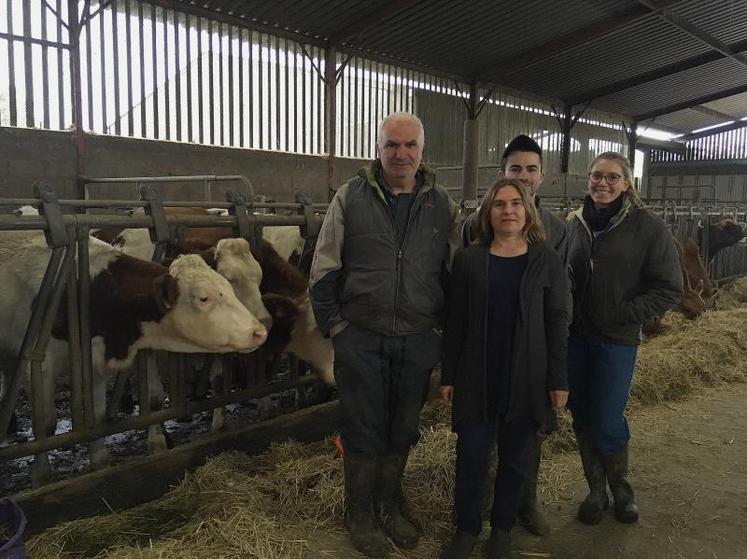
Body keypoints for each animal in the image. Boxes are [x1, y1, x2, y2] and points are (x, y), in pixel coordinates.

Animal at [0, 230, 268, 484]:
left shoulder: (96, 360)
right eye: (204, 297)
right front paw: (41, 475)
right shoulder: (41, 364)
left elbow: (97, 417)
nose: (261, 329)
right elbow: (45, 424)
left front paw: (100, 461)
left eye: (229, 286)